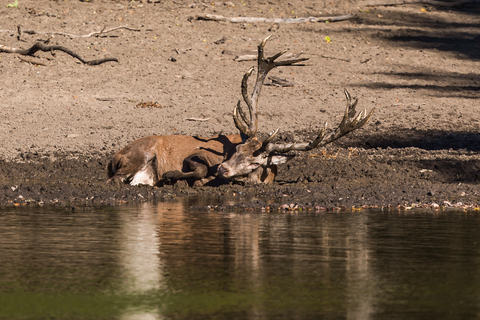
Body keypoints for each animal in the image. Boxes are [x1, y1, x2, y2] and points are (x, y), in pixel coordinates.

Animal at [107, 37, 374, 188]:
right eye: (236, 150)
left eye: (256, 160)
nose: (223, 168)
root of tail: (115, 156)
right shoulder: (198, 154)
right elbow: (198, 167)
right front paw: (174, 175)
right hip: (137, 156)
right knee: (115, 179)